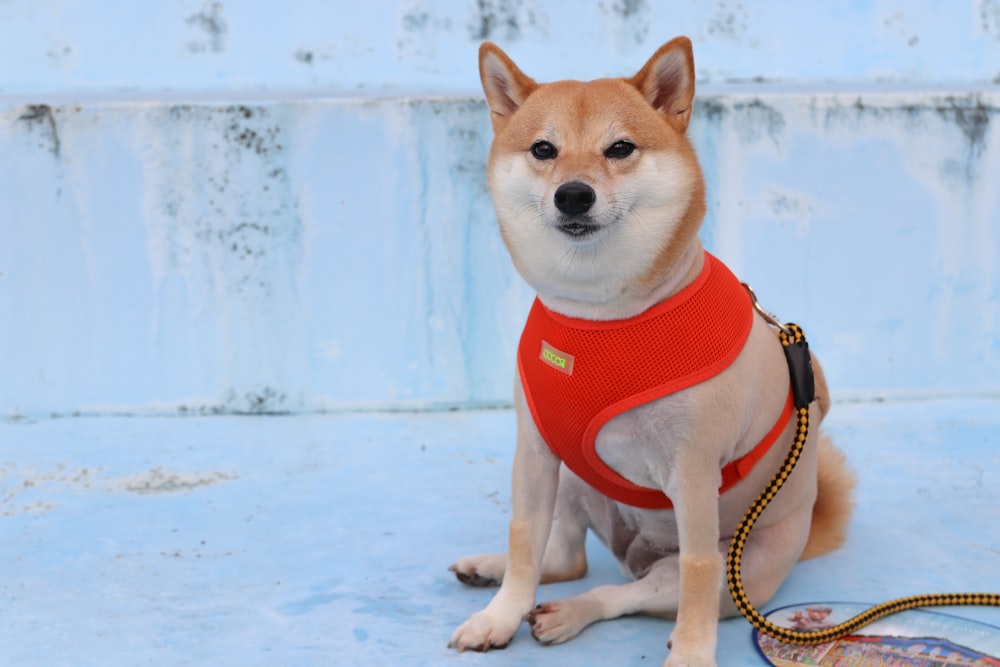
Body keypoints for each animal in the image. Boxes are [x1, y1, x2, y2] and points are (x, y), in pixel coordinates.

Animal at [450, 37, 856, 667]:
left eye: (620, 148)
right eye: (543, 149)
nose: (574, 193)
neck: (603, 319)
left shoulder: (693, 475)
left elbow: (697, 568)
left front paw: (691, 653)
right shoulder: (537, 451)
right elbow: (524, 539)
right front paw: (499, 614)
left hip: (737, 565)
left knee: (628, 591)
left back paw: (570, 614)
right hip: (574, 478)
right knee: (564, 557)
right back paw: (493, 571)